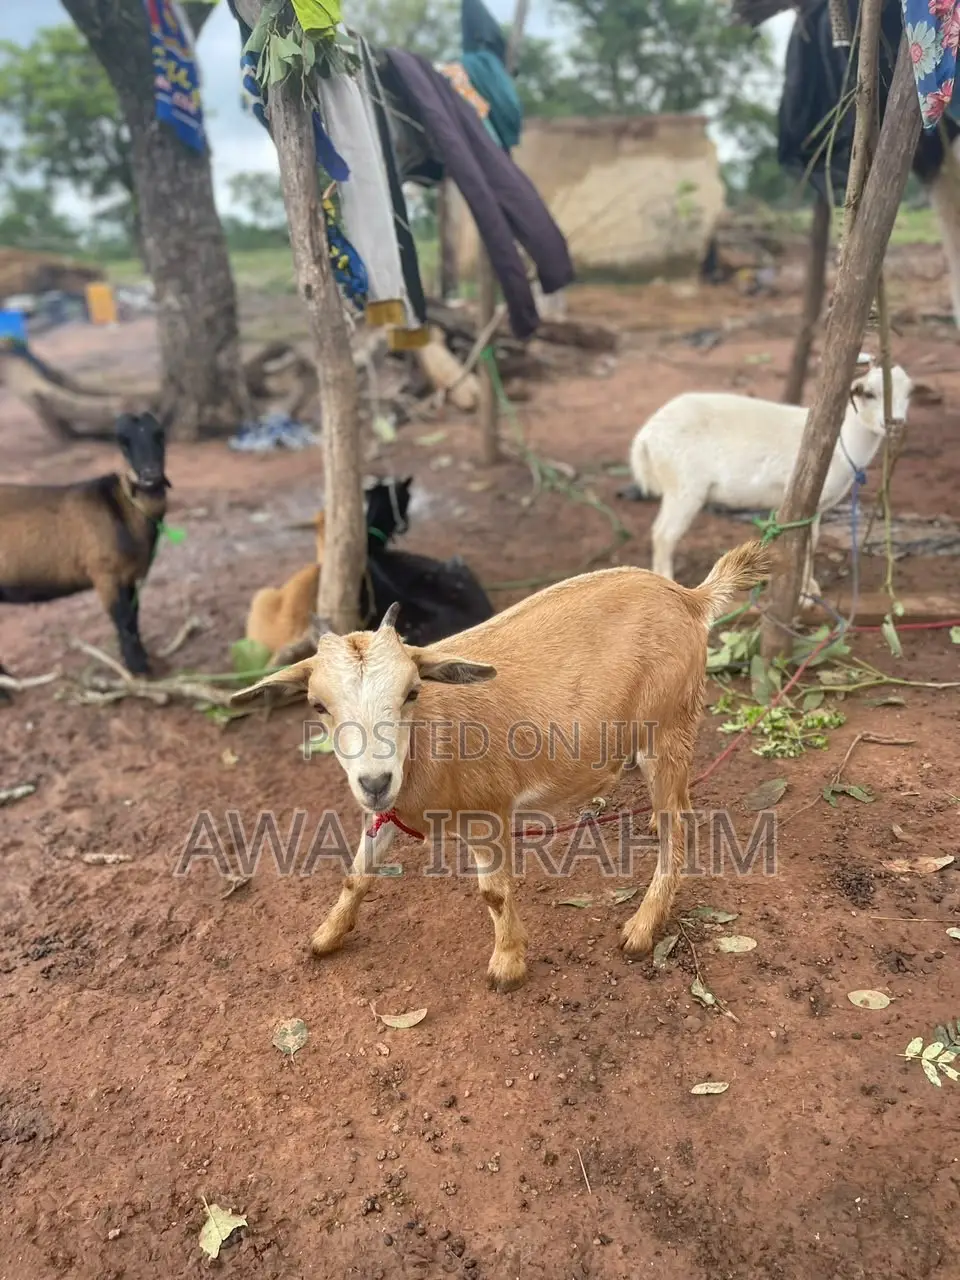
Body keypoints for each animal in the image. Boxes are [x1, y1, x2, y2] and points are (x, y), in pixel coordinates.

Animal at [0, 411, 169, 677]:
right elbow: (123, 622)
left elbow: (133, 618)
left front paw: (143, 661)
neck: (121, 507)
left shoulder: (127, 576)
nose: (150, 475)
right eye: (123, 442)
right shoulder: (105, 574)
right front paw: (138, 670)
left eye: (160, 435)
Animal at [231, 539, 771, 992]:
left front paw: (508, 965)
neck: (428, 742)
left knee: (679, 822)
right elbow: (357, 872)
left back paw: (641, 927)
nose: (375, 780)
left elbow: (492, 892)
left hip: (668, 725)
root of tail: (690, 597)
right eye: (318, 705)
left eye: (411, 692)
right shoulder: (388, 810)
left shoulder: (487, 811)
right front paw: (326, 935)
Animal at [627, 363, 913, 596]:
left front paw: (809, 588)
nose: (896, 423)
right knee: (664, 534)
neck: (844, 444)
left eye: (908, 393)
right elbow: (803, 544)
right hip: (684, 485)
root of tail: (645, 437)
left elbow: (812, 543)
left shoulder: (817, 505)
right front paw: (802, 593)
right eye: (868, 393)